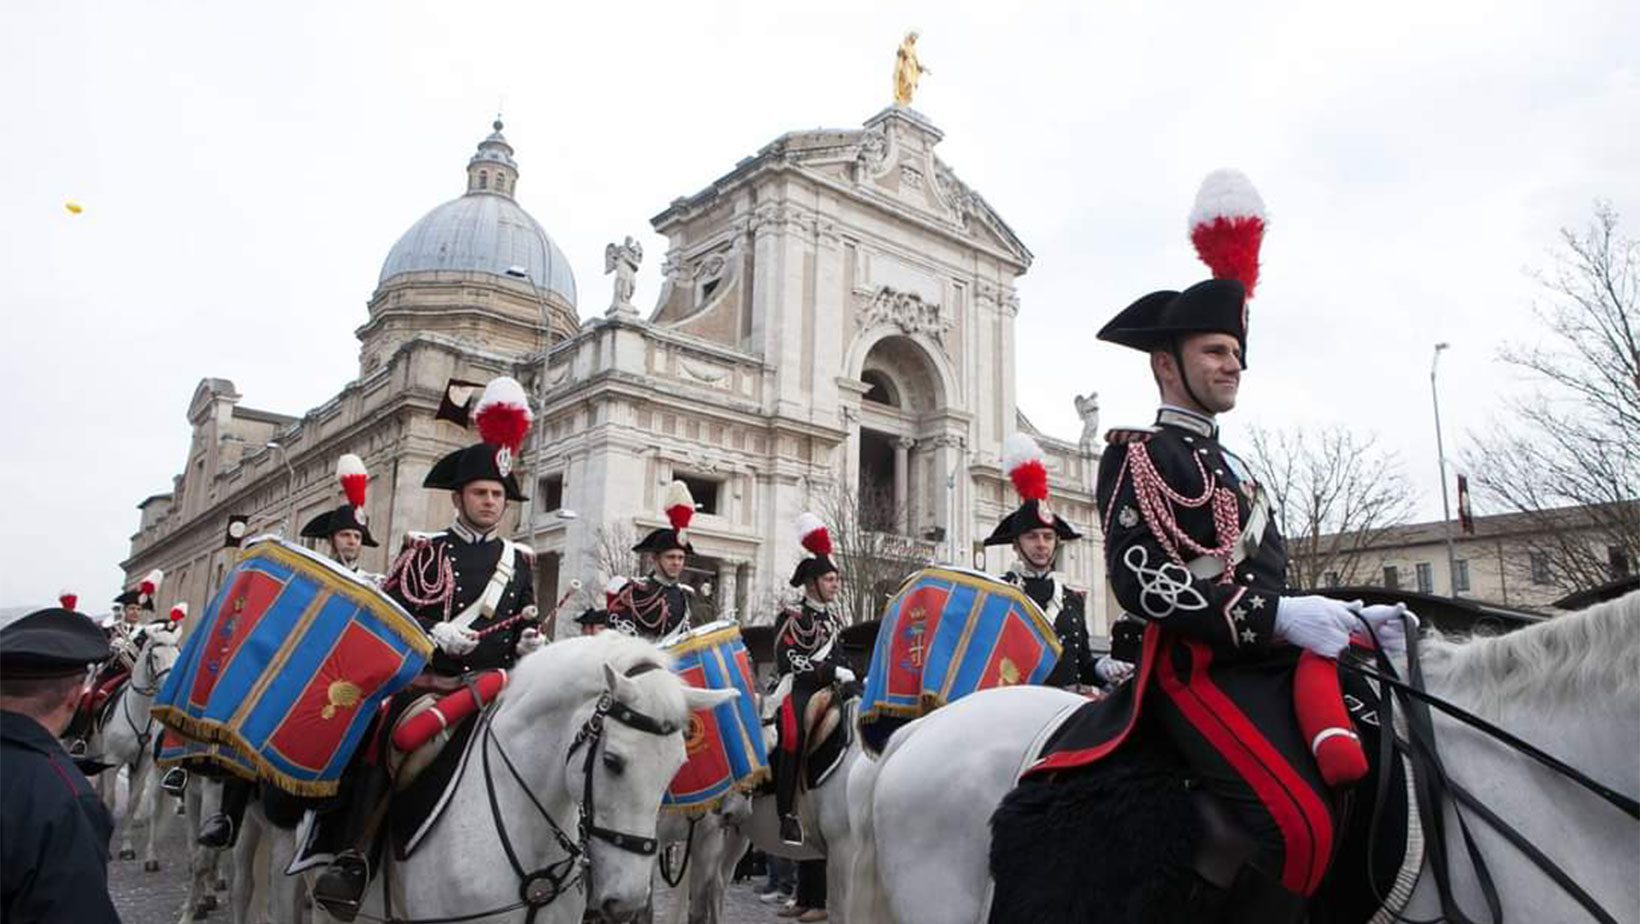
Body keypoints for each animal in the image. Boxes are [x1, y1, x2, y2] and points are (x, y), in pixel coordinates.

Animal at [93, 626, 182, 873]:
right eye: (155, 656)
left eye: (178, 653)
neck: (138, 710)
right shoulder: (113, 760)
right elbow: (111, 800)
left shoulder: (142, 764)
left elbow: (133, 802)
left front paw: (126, 847)